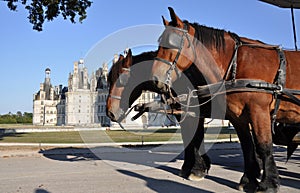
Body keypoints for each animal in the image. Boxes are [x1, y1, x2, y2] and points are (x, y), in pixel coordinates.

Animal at [106, 49, 213, 180]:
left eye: (122, 79)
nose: (109, 112)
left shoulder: (193, 112)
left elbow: (195, 136)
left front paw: (197, 169)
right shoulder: (183, 113)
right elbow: (189, 136)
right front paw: (192, 166)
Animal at [150, 6, 300, 192]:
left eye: (171, 43)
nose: (155, 79)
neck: (237, 65)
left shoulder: (259, 111)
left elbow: (263, 145)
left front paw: (268, 184)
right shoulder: (238, 117)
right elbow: (247, 145)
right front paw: (248, 179)